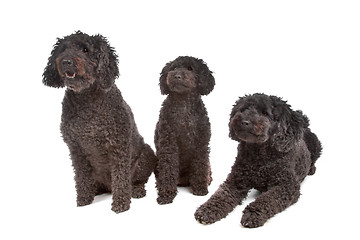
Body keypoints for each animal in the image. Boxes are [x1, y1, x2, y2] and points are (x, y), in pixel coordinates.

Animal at [41, 31, 156, 214]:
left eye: (85, 49)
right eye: (63, 50)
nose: (66, 61)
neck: (86, 100)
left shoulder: (118, 146)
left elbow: (121, 178)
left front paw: (121, 204)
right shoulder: (76, 149)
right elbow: (81, 178)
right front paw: (83, 200)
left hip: (146, 155)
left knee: (136, 180)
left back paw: (136, 190)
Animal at [154, 56, 214, 204]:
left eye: (190, 68)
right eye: (174, 68)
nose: (177, 76)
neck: (184, 104)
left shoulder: (201, 144)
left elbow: (200, 165)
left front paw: (200, 188)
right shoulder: (168, 144)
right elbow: (168, 168)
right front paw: (166, 194)